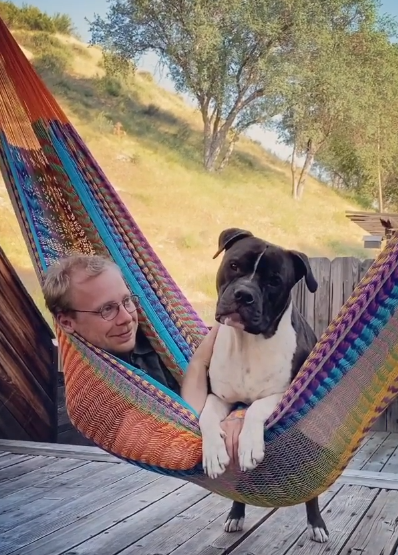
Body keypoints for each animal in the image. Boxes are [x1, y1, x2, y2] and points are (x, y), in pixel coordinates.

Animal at [199, 228, 330, 544]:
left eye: (274, 281)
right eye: (234, 265)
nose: (244, 294)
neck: (247, 342)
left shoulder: (282, 394)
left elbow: (257, 407)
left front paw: (249, 445)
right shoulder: (220, 396)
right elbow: (206, 416)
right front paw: (213, 453)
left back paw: (316, 523)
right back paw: (235, 514)